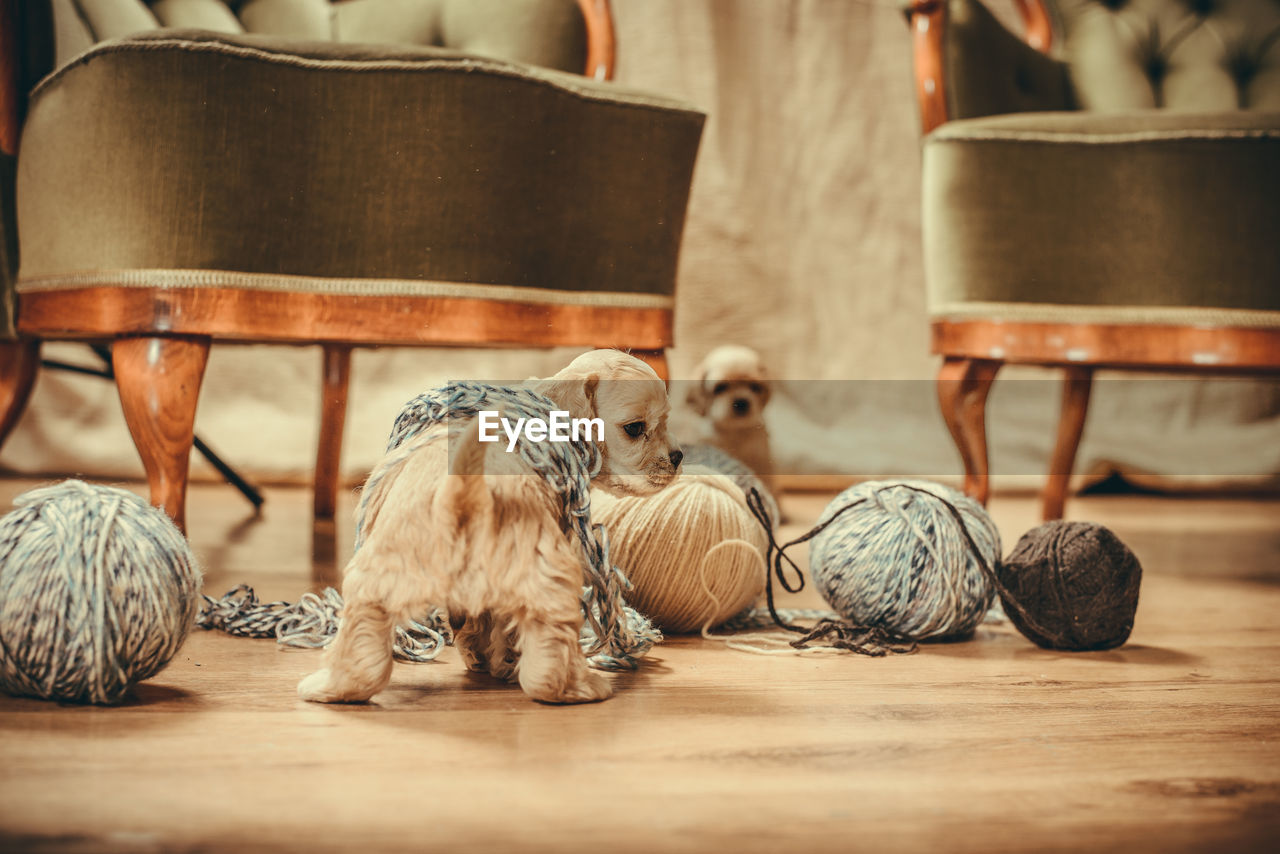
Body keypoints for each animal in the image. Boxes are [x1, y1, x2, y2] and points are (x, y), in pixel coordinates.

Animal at [298, 348, 686, 706]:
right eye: (635, 428)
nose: (679, 456)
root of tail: (461, 496)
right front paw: (503, 661)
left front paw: (482, 657)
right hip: (547, 575)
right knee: (550, 657)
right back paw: (582, 688)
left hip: (378, 577)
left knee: (363, 646)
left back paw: (328, 687)